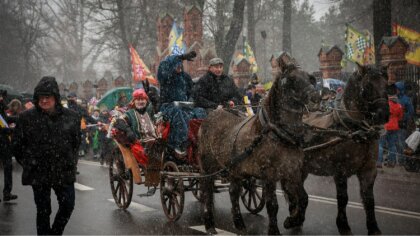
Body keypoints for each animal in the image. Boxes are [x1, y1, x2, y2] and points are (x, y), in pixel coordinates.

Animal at [197, 56, 318, 234]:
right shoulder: (269, 175)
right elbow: (272, 205)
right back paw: (210, 225)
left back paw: (239, 223)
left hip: (234, 170)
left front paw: (292, 221)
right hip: (208, 168)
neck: (278, 133)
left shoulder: (293, 171)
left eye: (310, 78)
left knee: (233, 192)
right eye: (292, 79)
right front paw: (275, 230)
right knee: (207, 192)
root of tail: (212, 114)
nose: (316, 97)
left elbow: (303, 198)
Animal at [288, 64, 390, 234]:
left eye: (387, 85)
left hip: (302, 169)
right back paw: (294, 218)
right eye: (367, 87)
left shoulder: (368, 170)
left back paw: (296, 217)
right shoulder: (340, 171)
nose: (383, 114)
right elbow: (343, 199)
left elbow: (369, 199)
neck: (355, 130)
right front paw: (343, 226)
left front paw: (374, 228)